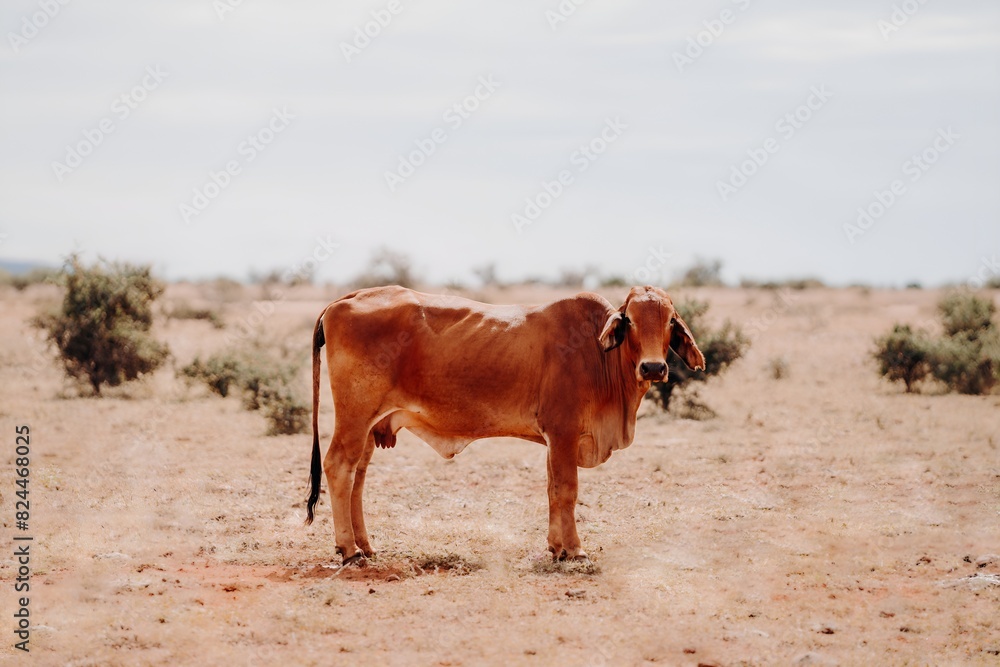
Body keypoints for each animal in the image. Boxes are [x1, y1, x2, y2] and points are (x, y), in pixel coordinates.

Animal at [304, 285, 705, 564]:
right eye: (631, 320)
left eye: (670, 321)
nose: (653, 368)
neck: (598, 355)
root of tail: (348, 298)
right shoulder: (563, 432)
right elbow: (567, 490)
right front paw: (575, 550)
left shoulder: (553, 439)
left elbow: (551, 490)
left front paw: (556, 547)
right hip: (355, 416)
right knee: (339, 467)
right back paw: (349, 550)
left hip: (371, 427)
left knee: (357, 477)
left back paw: (365, 545)